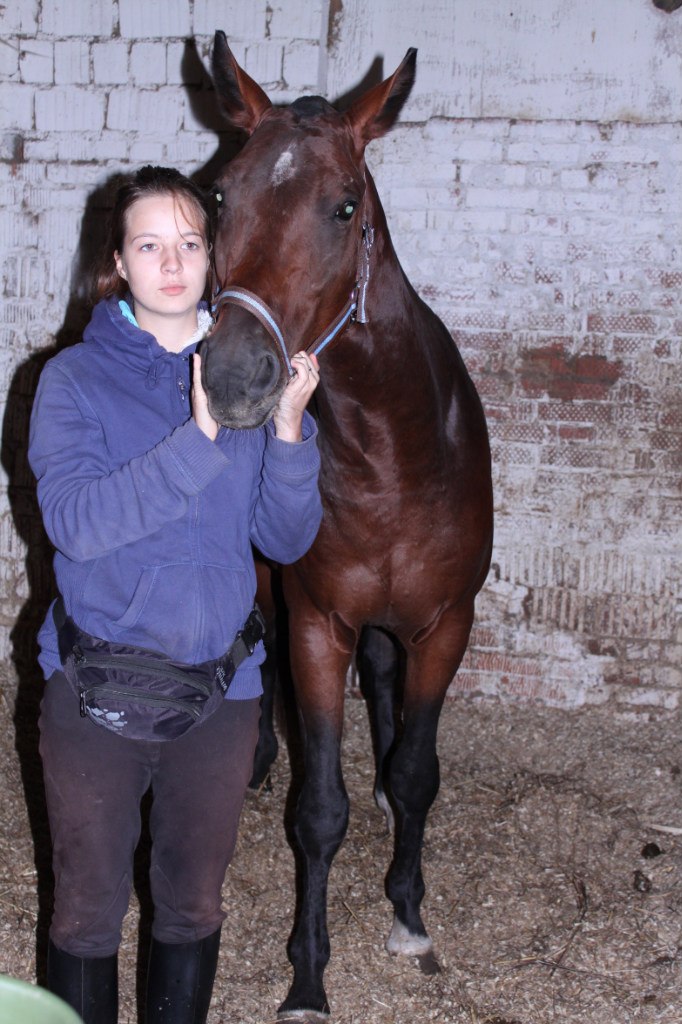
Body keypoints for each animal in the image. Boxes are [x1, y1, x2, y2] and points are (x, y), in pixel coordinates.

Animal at [202, 32, 494, 1021]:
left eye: (344, 206)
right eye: (222, 194)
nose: (232, 375)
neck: (392, 449)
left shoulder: (444, 626)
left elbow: (417, 773)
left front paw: (407, 913)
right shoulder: (319, 625)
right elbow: (316, 808)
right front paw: (307, 975)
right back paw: (256, 757)